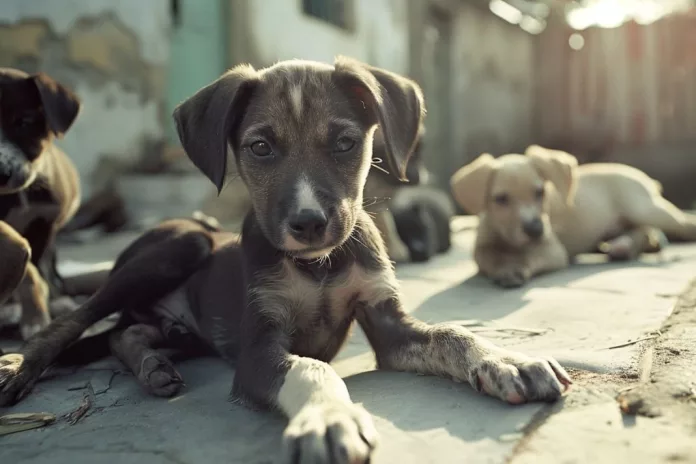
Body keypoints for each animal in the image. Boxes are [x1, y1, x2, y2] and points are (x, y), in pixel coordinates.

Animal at [0, 68, 81, 338]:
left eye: (23, 123)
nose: (0, 173)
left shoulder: (45, 222)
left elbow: (38, 266)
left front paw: (39, 312)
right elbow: (29, 274)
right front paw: (32, 316)